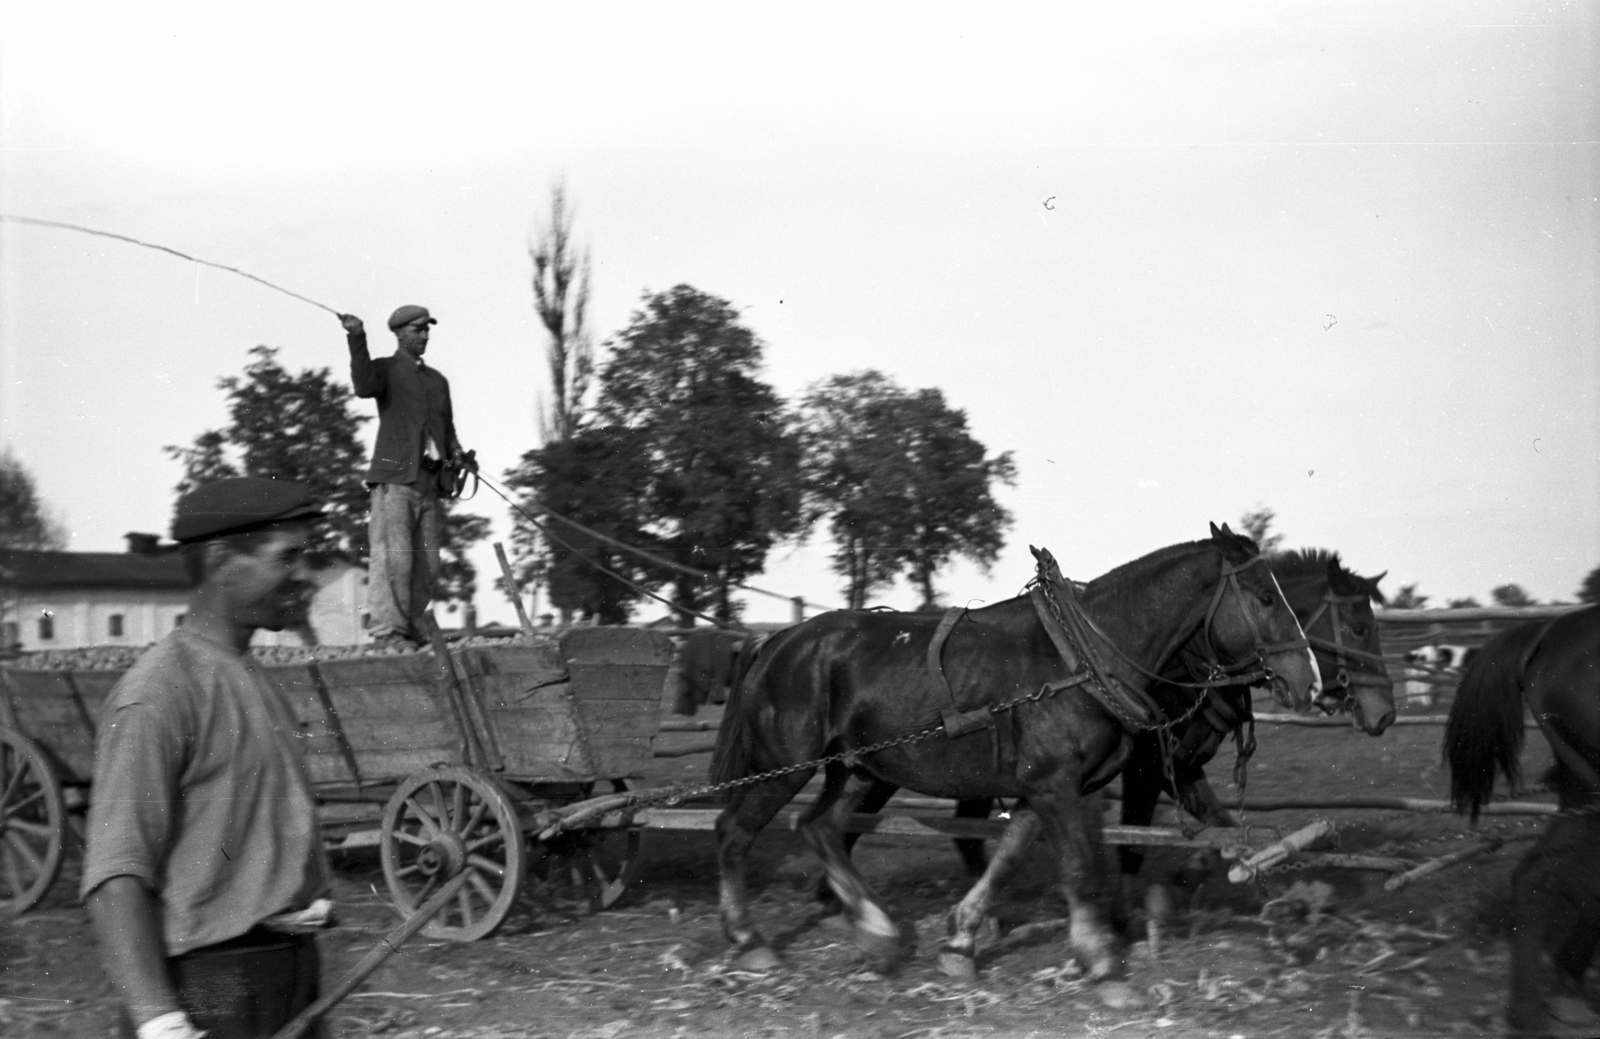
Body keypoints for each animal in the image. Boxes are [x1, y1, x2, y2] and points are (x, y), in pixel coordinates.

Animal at [713, 521, 1324, 998]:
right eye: (1265, 597)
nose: (1309, 682)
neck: (1083, 660)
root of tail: (778, 640)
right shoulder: (1056, 785)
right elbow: (1079, 868)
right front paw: (1102, 960)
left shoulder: (1044, 789)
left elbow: (1008, 856)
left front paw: (962, 939)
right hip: (788, 765)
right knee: (735, 831)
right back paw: (750, 941)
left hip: (857, 771)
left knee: (821, 829)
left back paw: (877, 930)